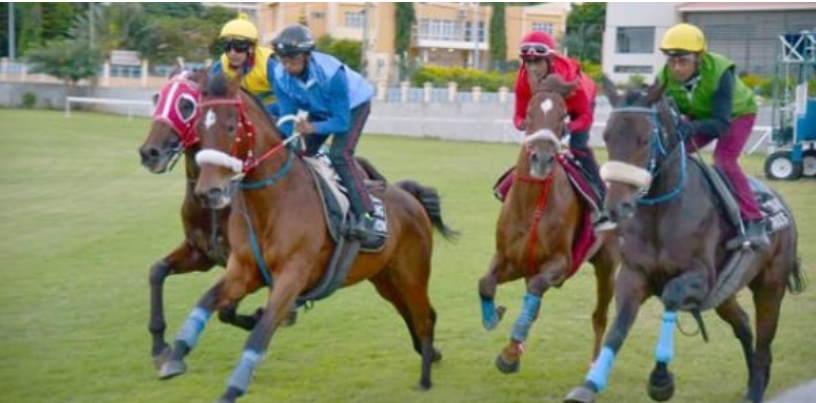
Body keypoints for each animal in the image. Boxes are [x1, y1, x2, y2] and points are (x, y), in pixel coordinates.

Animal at [155, 72, 456, 403]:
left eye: (231, 126)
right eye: (198, 126)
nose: (209, 192)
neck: (274, 202)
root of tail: (408, 196)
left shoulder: (292, 276)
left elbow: (260, 332)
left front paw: (232, 388)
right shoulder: (243, 269)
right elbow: (206, 301)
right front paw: (174, 355)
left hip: (412, 273)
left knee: (425, 316)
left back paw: (425, 378)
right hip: (385, 279)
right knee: (412, 314)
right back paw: (431, 355)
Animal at [478, 75, 620, 376]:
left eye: (563, 115)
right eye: (530, 113)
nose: (542, 160)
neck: (532, 207)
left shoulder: (560, 264)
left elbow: (535, 291)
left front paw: (509, 354)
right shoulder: (512, 260)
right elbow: (486, 284)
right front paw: (495, 315)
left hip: (608, 263)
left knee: (600, 315)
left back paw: (594, 363)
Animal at [560, 79, 804, 403]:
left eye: (644, 140)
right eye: (607, 136)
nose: (617, 207)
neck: (660, 213)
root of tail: (779, 201)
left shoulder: (701, 277)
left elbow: (672, 295)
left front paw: (661, 379)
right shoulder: (634, 276)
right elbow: (618, 328)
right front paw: (589, 385)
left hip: (770, 285)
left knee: (764, 340)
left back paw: (755, 389)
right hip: (725, 292)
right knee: (743, 325)